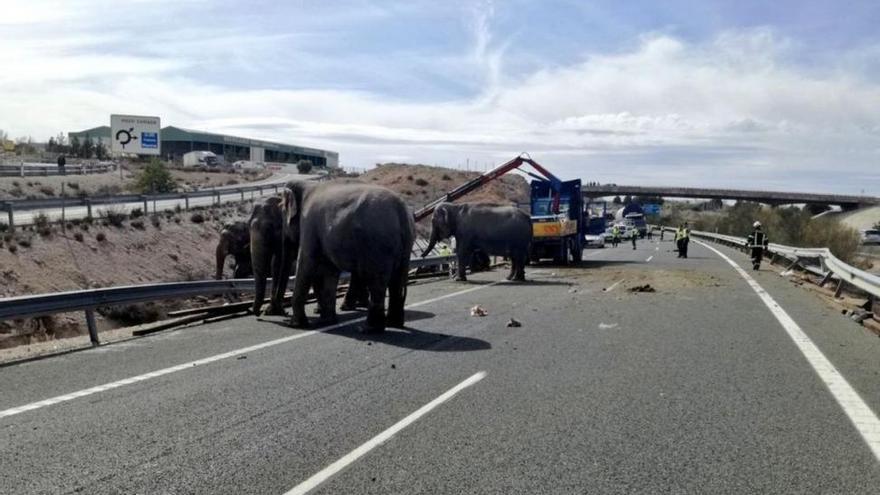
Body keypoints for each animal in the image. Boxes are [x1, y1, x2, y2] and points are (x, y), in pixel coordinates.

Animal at [278, 181, 416, 334]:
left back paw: (368, 329)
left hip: (378, 245)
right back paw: (394, 324)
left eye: (282, 216)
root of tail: (401, 210)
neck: (306, 185)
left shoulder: (309, 224)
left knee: (377, 282)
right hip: (404, 246)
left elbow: (306, 263)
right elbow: (330, 271)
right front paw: (326, 321)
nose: (283, 314)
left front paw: (296, 325)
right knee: (396, 282)